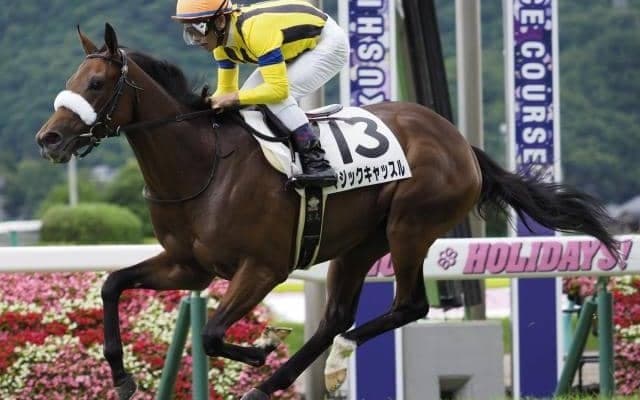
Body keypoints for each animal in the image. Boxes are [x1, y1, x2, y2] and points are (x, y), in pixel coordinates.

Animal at [35, 24, 619, 400]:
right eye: (72, 79)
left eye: (96, 83)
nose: (50, 138)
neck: (203, 166)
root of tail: (460, 142)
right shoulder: (189, 266)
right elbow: (113, 284)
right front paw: (122, 375)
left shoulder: (263, 268)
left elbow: (212, 334)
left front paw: (263, 345)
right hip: (359, 243)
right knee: (337, 314)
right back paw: (280, 383)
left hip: (410, 227)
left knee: (407, 306)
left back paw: (326, 366)